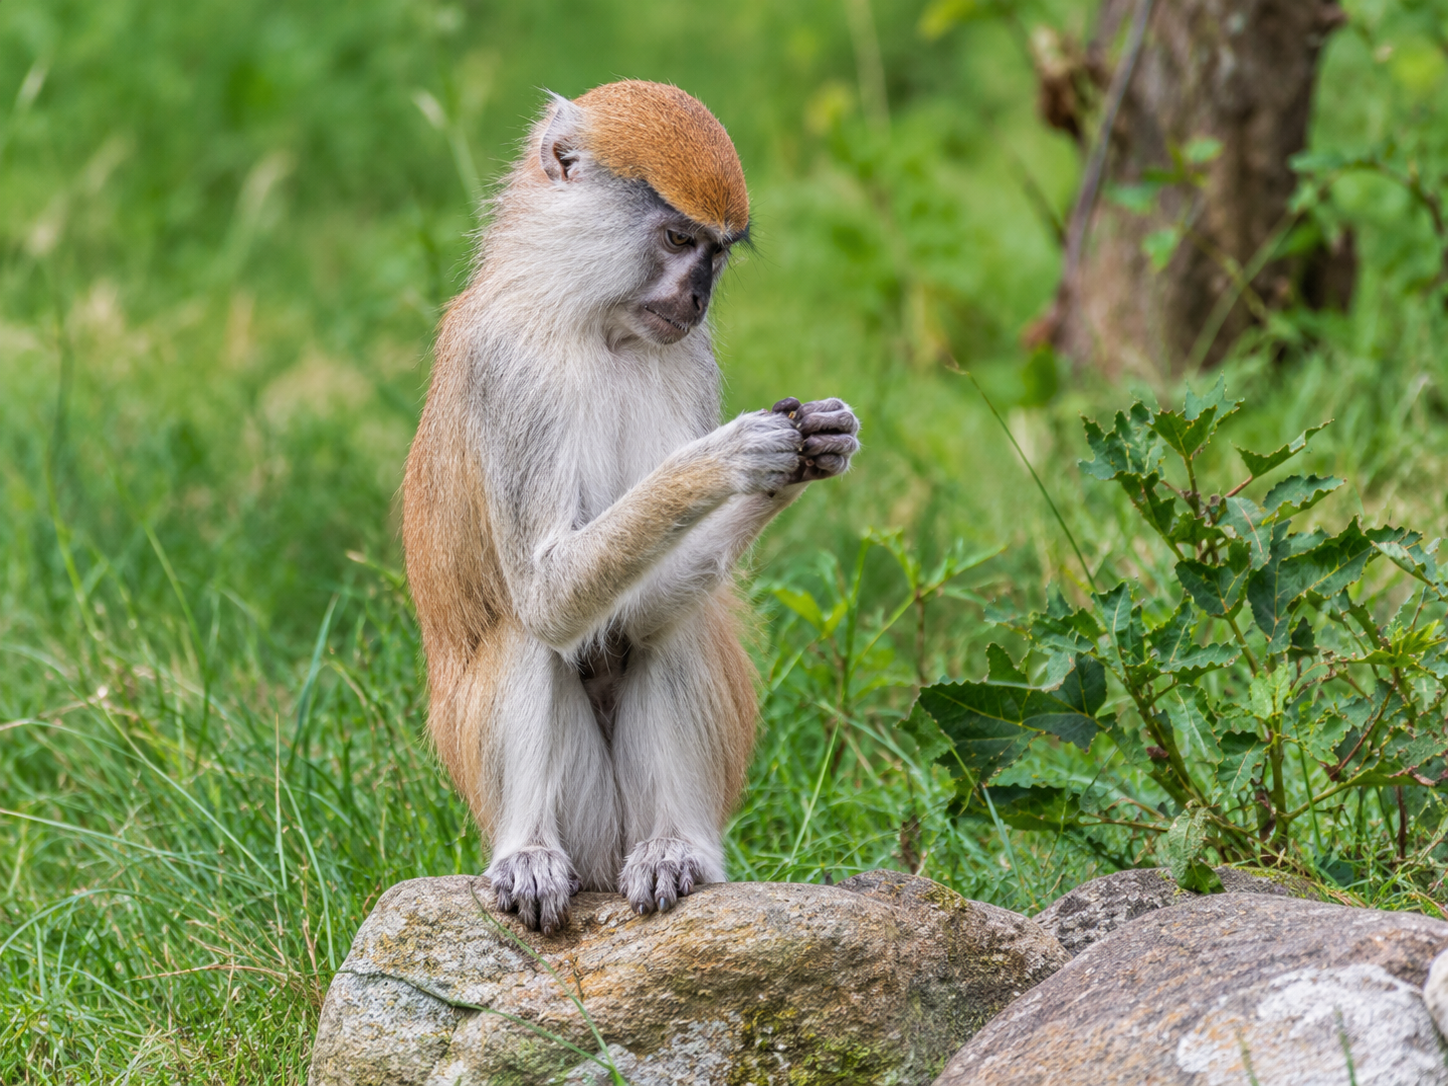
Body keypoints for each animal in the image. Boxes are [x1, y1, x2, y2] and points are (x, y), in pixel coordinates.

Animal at [401, 80, 860, 933]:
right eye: (678, 238)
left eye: (717, 253)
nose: (698, 296)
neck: (592, 321)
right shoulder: (508, 368)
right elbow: (549, 598)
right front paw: (734, 455)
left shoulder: (688, 356)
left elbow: (643, 613)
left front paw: (813, 448)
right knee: (526, 632)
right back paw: (529, 855)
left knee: (676, 626)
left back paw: (674, 850)